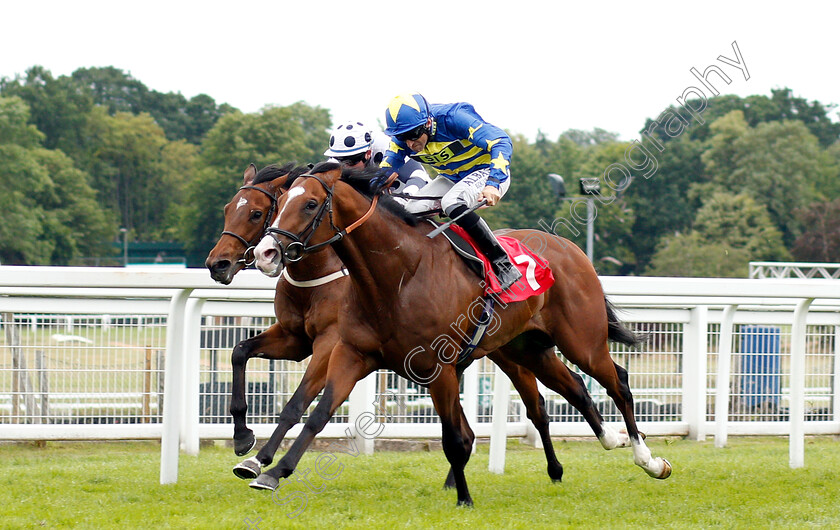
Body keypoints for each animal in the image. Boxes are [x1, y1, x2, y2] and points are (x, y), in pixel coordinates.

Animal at [253, 161, 672, 504]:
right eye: (278, 202)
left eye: (310, 204)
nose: (265, 252)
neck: (399, 275)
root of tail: (571, 249)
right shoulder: (353, 353)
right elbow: (319, 411)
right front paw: (272, 472)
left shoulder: (439, 368)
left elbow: (454, 439)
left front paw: (464, 500)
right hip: (527, 349)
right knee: (574, 389)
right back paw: (608, 440)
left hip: (582, 341)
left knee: (617, 382)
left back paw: (648, 460)